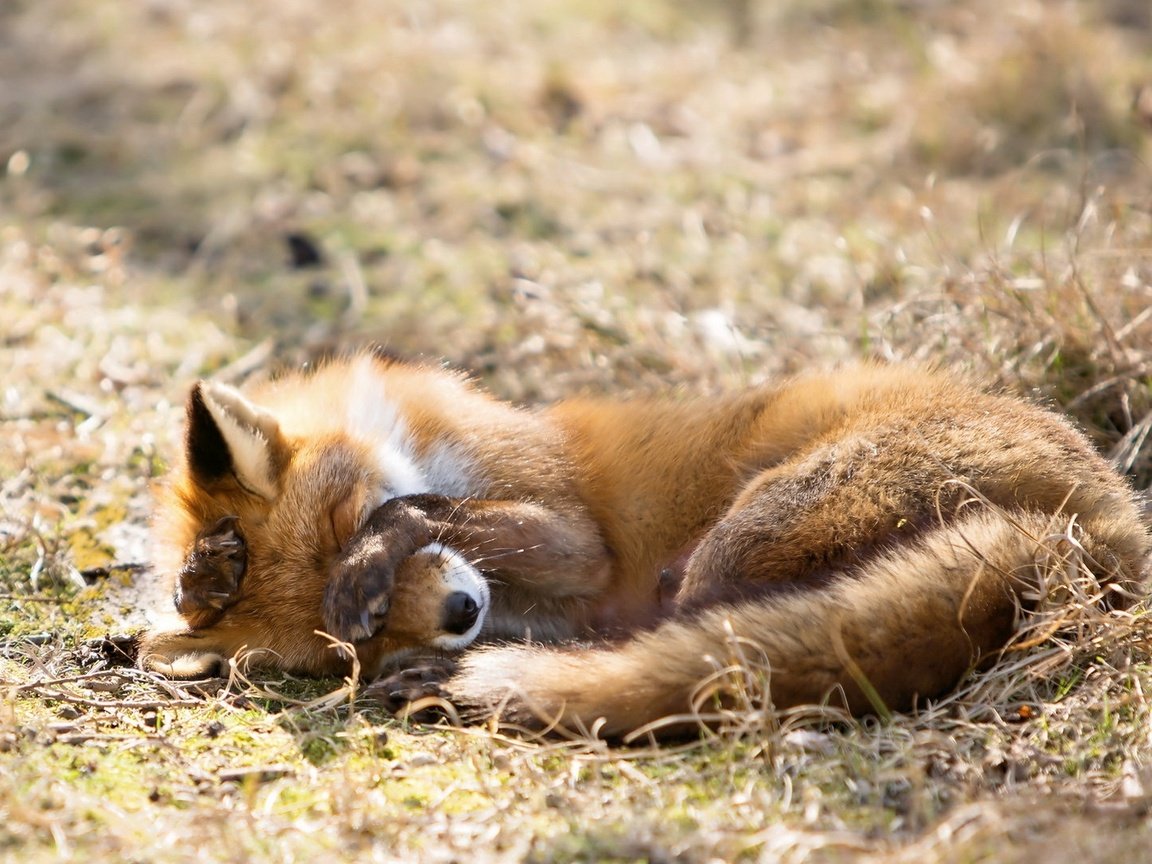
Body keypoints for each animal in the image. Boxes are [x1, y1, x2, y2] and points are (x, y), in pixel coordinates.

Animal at [141, 354, 1152, 741]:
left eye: (350, 524)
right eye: (347, 649)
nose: (462, 615)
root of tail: (1104, 521)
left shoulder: (570, 532)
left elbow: (423, 506)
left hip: (742, 537)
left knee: (706, 639)